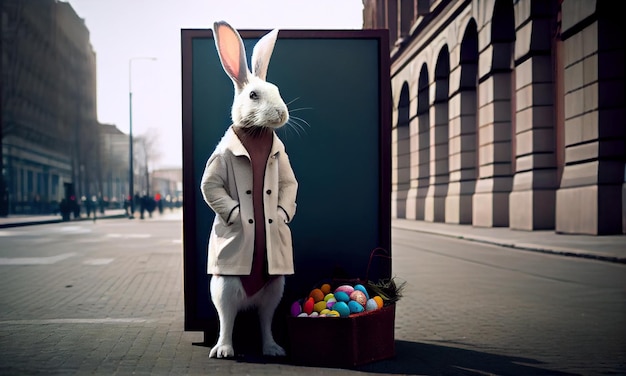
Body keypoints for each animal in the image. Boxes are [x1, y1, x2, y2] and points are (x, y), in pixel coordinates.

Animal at [200, 19, 298, 358]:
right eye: (254, 95)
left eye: (278, 91)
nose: (281, 114)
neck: (257, 135)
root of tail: (249, 300)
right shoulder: (217, 162)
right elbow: (211, 185)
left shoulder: (283, 163)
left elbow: (288, 185)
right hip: (225, 285)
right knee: (226, 318)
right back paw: (224, 350)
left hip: (276, 285)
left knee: (265, 319)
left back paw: (273, 348)